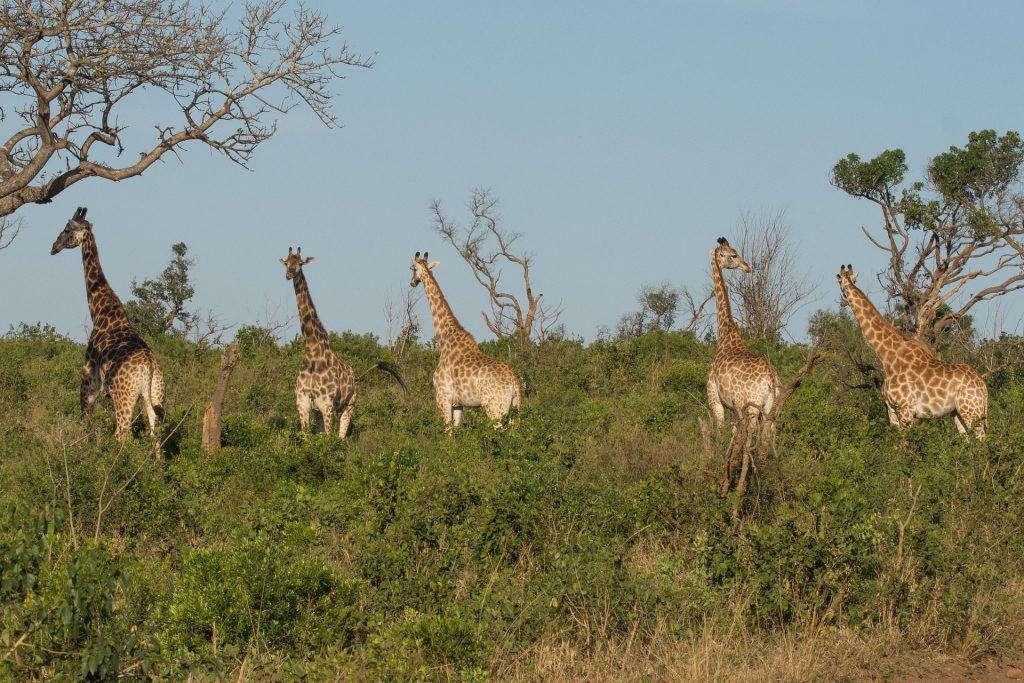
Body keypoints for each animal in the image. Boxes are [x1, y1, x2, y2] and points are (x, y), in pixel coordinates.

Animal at [49, 208, 164, 444]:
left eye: (67, 230)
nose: (53, 247)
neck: (101, 313)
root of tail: (148, 366)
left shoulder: (89, 384)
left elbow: (84, 422)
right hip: (156, 395)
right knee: (155, 433)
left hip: (123, 397)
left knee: (123, 435)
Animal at [280, 248, 360, 436]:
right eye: (286, 263)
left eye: (300, 263)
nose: (289, 274)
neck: (312, 353)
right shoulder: (303, 403)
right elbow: (307, 438)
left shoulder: (327, 404)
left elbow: (329, 439)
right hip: (318, 412)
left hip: (349, 405)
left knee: (340, 436)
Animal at [407, 250, 520, 432]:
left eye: (412, 268)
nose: (412, 282)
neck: (444, 338)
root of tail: (514, 384)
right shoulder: (458, 404)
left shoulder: (442, 398)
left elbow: (447, 432)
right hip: (515, 410)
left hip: (495, 409)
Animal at [708, 237, 778, 436]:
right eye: (733, 254)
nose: (747, 267)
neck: (725, 332)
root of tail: (770, 379)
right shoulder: (732, 407)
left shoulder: (715, 398)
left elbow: (721, 429)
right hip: (771, 406)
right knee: (769, 432)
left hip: (750, 406)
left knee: (752, 431)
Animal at [835, 264, 987, 438]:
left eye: (847, 280)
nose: (844, 296)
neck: (886, 355)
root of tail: (983, 386)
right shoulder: (891, 411)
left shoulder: (905, 409)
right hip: (958, 412)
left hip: (972, 410)